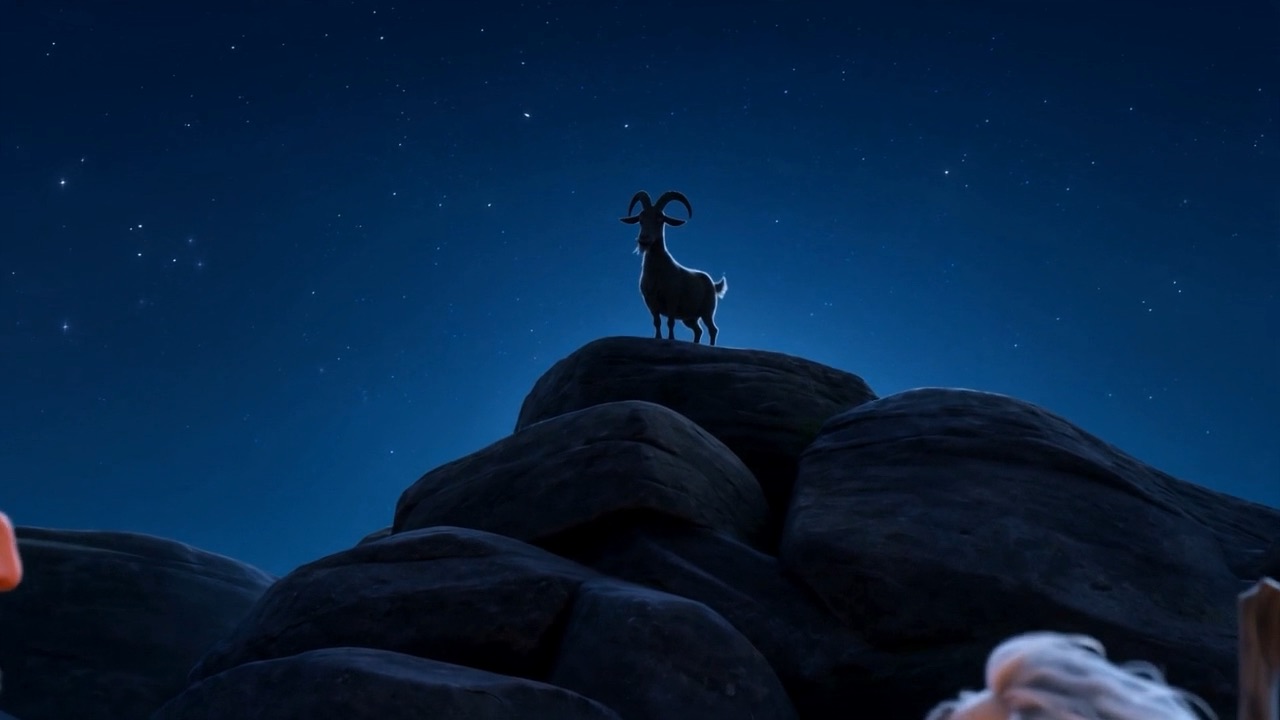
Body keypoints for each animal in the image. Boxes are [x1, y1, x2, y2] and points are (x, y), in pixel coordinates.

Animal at [620, 190, 727, 345]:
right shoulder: (651, 302)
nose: (643, 239)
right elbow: (657, 322)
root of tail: (714, 284)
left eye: (660, 219)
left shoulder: (672, 299)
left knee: (712, 329)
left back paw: (711, 346)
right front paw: (658, 338)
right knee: (698, 330)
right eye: (640, 219)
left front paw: (671, 339)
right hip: (690, 317)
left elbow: (670, 322)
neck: (657, 272)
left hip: (707, 310)